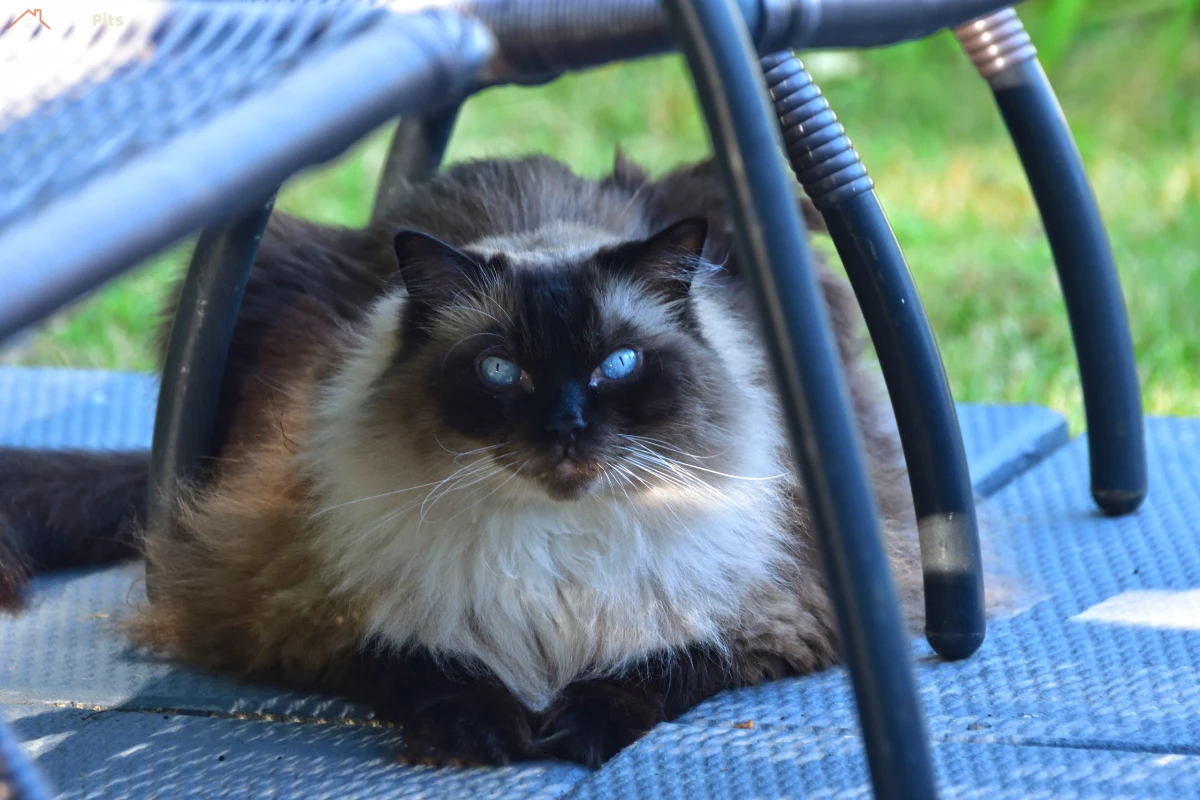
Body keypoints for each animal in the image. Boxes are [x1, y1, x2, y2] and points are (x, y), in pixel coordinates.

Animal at [0, 151, 916, 767]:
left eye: (617, 365)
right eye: (501, 372)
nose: (568, 428)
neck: (553, 547)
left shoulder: (789, 610)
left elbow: (659, 662)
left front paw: (574, 729)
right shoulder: (282, 608)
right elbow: (416, 658)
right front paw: (489, 731)